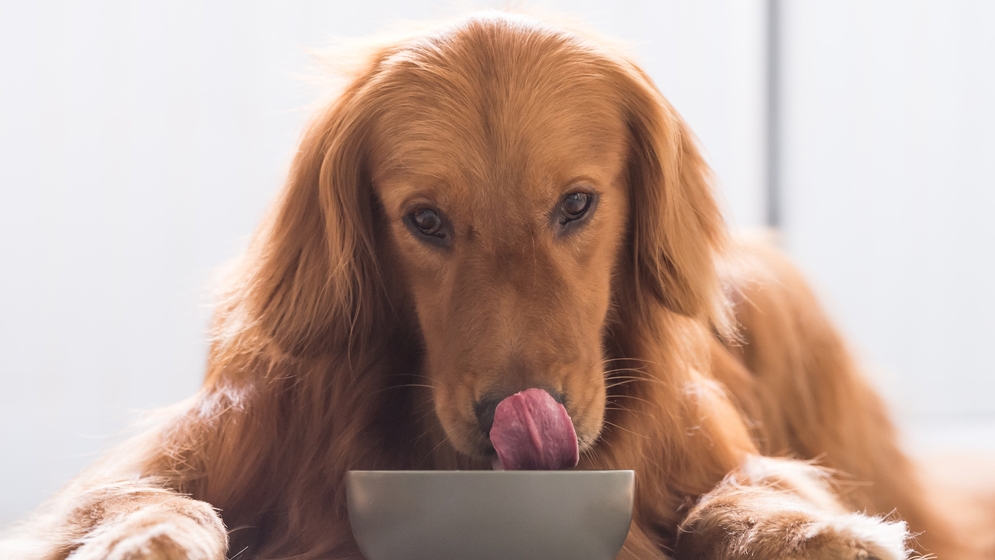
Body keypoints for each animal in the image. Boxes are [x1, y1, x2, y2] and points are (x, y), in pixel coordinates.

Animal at [3, 13, 992, 560]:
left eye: (577, 204)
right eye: (425, 221)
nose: (515, 416)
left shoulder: (705, 453)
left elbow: (745, 493)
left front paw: (820, 533)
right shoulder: (199, 447)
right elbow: (138, 497)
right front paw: (142, 539)